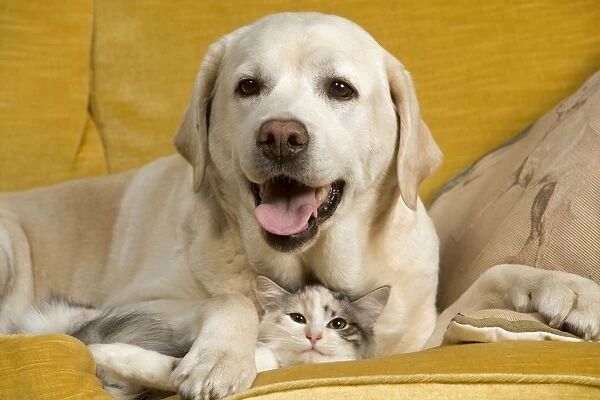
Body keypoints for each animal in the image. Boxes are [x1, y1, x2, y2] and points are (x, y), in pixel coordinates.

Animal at [0, 12, 596, 400]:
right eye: (247, 86)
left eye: (340, 88)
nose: (281, 136)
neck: (314, 265)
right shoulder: (131, 305)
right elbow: (232, 301)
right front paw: (220, 358)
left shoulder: (411, 342)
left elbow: (494, 277)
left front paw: (570, 292)